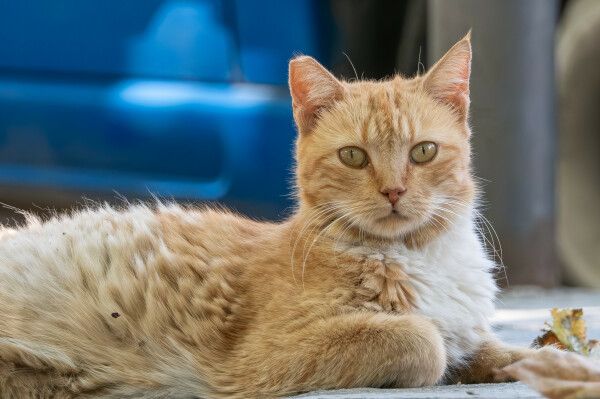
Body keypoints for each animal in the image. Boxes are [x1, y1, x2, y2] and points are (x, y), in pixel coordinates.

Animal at [0, 32, 536, 398]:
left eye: (423, 152)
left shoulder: (469, 326)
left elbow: (497, 347)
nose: (393, 191)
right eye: (354, 157)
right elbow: (423, 340)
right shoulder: (259, 363)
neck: (421, 255)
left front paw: (532, 359)